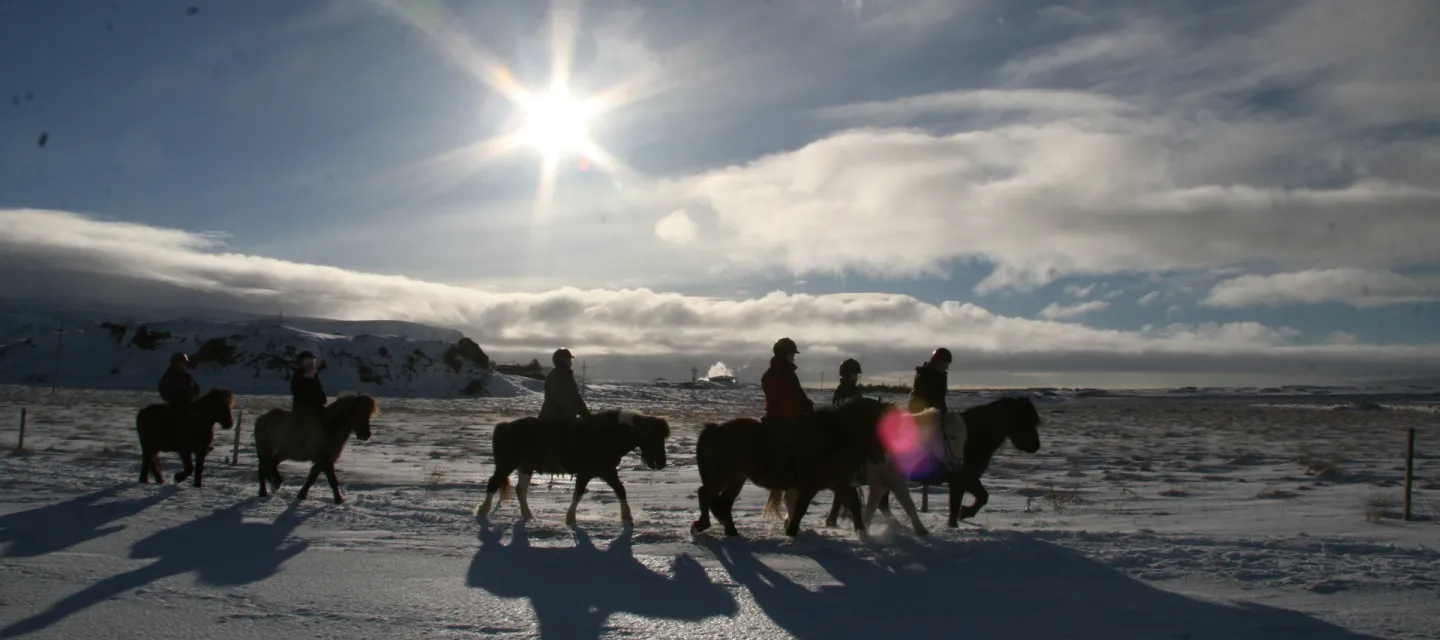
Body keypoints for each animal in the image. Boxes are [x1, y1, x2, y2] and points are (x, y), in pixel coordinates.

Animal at [475, 409, 671, 524]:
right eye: (654, 438)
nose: (662, 463)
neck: (607, 436)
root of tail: (506, 426)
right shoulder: (594, 472)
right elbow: (580, 493)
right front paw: (570, 518)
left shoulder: (605, 472)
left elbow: (619, 490)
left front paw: (627, 518)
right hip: (507, 464)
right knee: (494, 483)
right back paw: (482, 511)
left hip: (525, 467)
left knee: (520, 490)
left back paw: (528, 515)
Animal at [685, 397, 887, 536]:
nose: (882, 455)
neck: (834, 435)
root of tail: (713, 429)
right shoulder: (812, 486)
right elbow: (800, 509)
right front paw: (791, 532)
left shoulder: (840, 483)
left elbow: (853, 505)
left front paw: (863, 533)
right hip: (723, 476)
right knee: (705, 493)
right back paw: (702, 525)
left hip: (737, 478)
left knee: (723, 502)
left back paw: (730, 530)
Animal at [858, 397, 1042, 527]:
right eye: (1022, 418)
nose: (1035, 445)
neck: (971, 438)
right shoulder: (961, 479)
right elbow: (962, 502)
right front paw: (961, 517)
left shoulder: (967, 478)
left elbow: (981, 497)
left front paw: (964, 514)